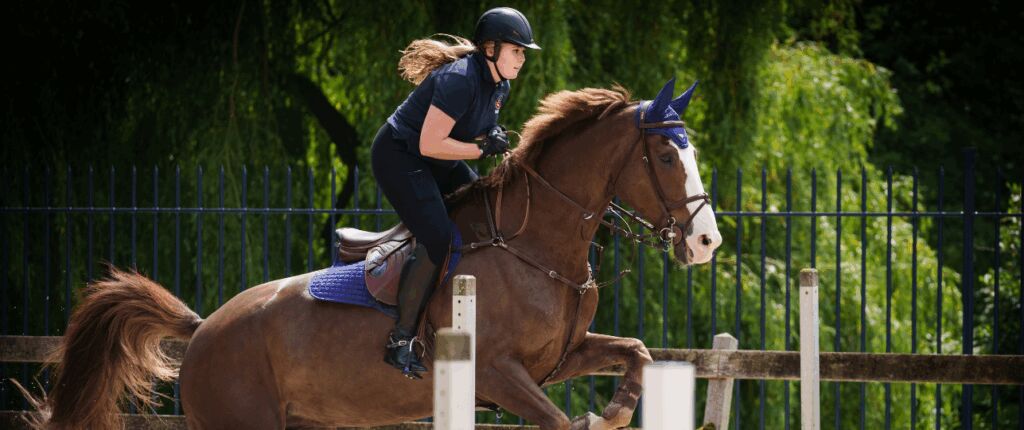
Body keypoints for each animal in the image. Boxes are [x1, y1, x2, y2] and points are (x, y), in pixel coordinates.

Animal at [17, 78, 721, 430]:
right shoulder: (498, 373)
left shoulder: (560, 358)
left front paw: (618, 408)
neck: (536, 247)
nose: (705, 241)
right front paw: (600, 416)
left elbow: (635, 351)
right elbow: (557, 420)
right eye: (666, 156)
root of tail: (204, 328)